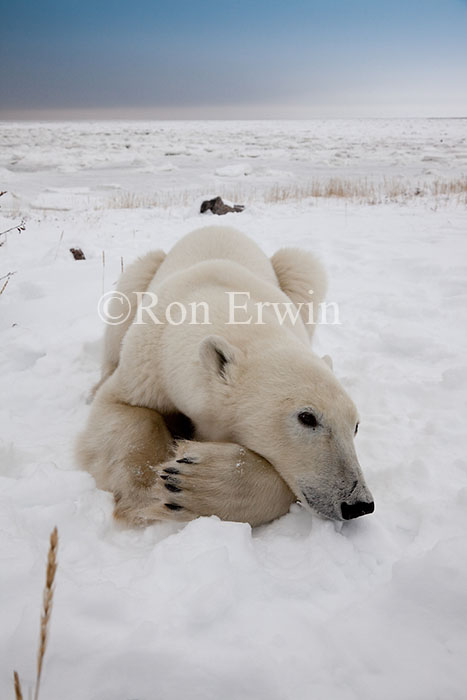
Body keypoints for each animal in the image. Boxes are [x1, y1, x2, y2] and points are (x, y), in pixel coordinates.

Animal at [77, 227, 376, 528]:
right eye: (307, 417)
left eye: (355, 426)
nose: (358, 503)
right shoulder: (148, 361)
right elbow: (124, 407)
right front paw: (145, 493)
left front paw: (189, 483)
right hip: (141, 275)